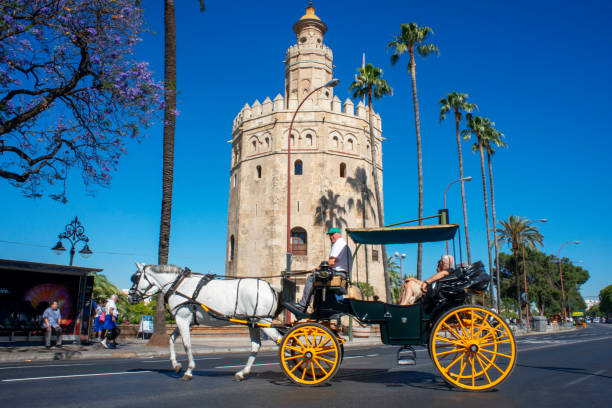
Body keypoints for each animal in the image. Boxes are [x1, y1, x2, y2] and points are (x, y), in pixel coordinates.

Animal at [129, 262, 284, 380]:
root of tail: (271, 286)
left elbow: (186, 344)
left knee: (282, 341)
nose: (131, 297)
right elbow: (171, 339)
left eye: (135, 278)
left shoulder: (182, 319)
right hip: (254, 322)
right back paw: (242, 373)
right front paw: (176, 365)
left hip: (263, 320)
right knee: (256, 345)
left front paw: (189, 371)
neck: (178, 285)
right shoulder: (185, 320)